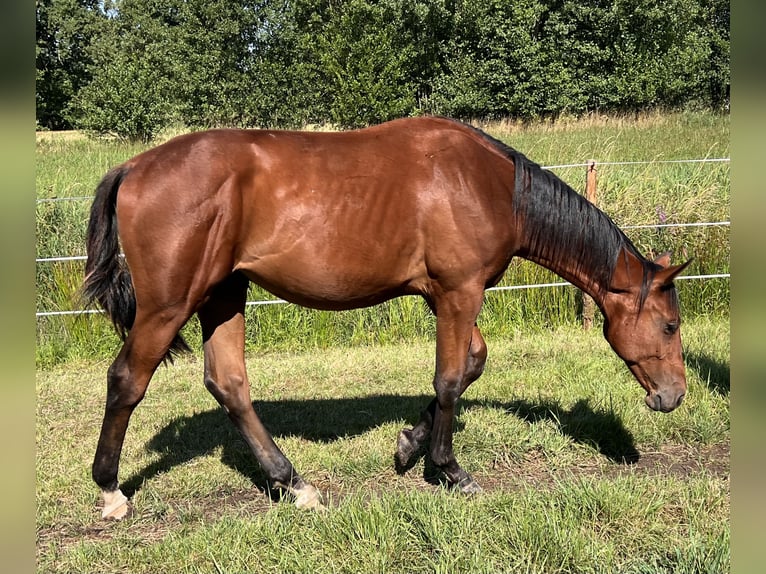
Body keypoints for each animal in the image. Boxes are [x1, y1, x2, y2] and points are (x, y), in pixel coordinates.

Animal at [82, 117, 688, 520]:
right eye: (669, 326)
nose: (674, 396)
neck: (488, 185)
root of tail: (134, 166)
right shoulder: (459, 292)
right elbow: (450, 379)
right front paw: (448, 468)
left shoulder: (443, 296)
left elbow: (471, 365)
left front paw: (408, 444)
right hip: (169, 306)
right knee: (127, 380)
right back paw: (111, 491)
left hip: (224, 294)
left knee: (229, 384)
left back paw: (292, 483)